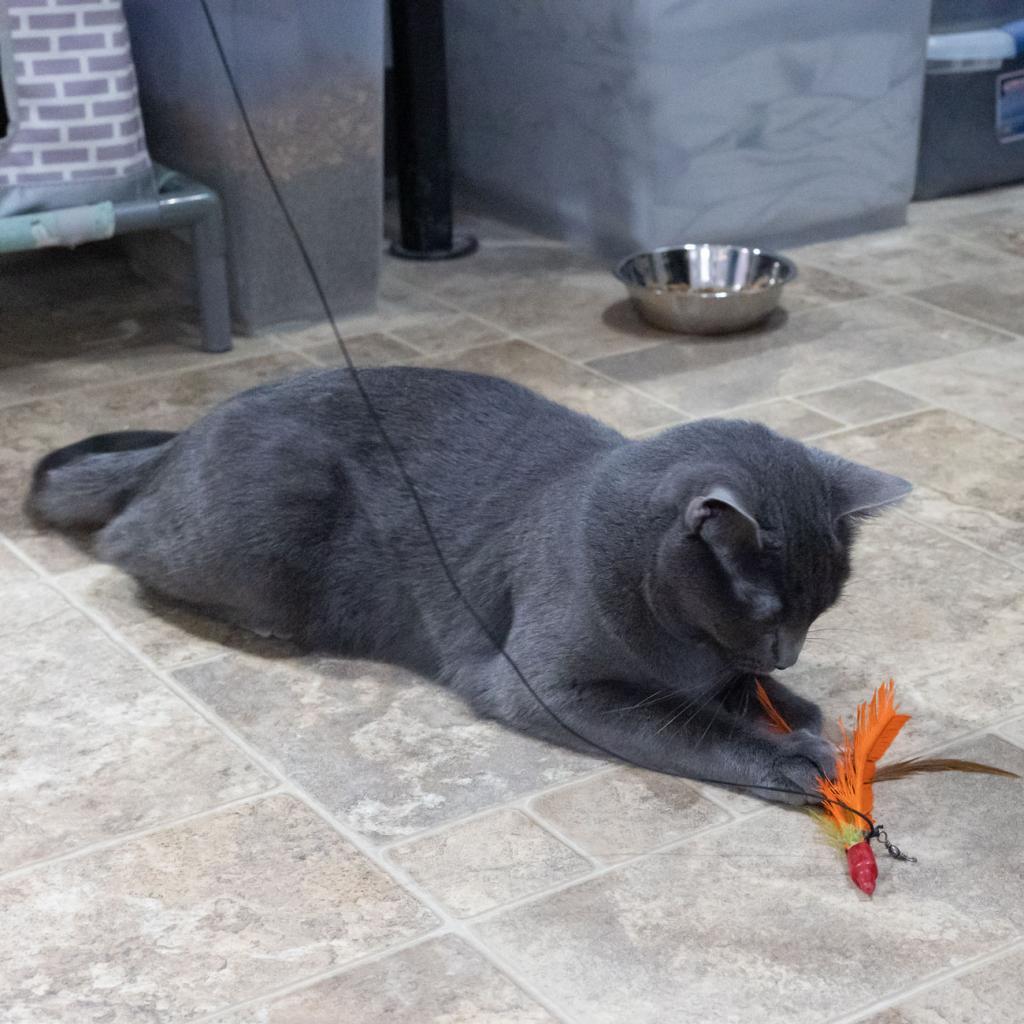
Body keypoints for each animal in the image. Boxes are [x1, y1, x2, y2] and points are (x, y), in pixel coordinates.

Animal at [24, 366, 909, 798]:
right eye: (768, 610)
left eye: (821, 610)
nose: (789, 655)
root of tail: (187, 430)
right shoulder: (548, 682)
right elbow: (687, 723)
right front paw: (798, 759)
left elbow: (732, 695)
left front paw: (796, 713)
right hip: (270, 526)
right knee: (122, 539)